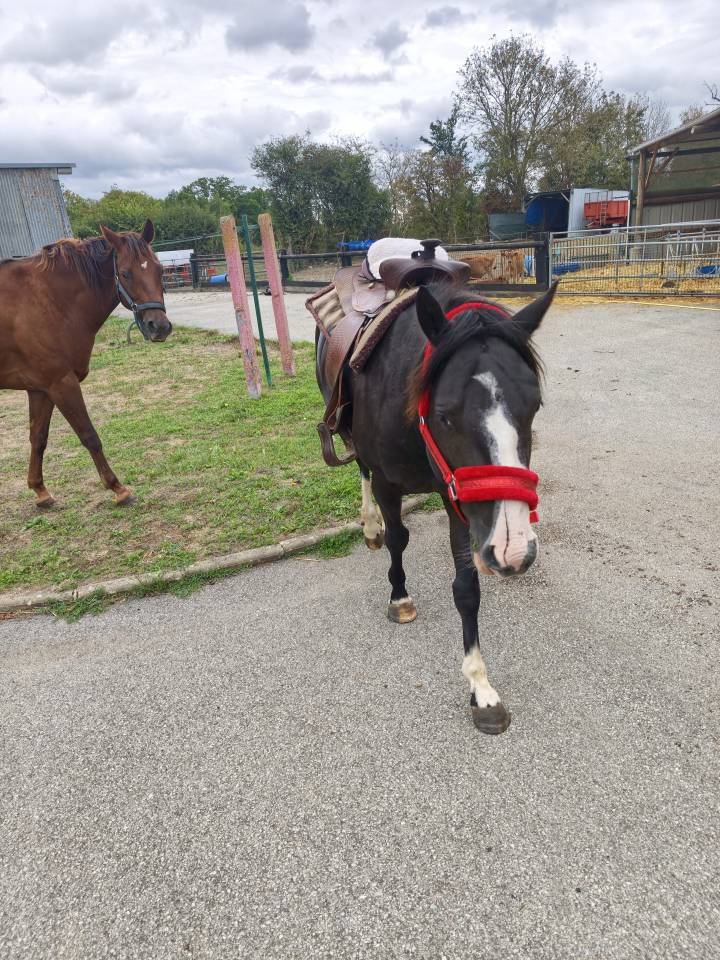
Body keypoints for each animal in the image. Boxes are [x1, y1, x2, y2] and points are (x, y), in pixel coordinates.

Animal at [0, 220, 171, 507]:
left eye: (160, 270)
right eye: (125, 273)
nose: (159, 327)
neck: (47, 300)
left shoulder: (40, 388)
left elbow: (38, 438)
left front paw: (40, 490)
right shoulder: (61, 384)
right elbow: (89, 436)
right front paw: (118, 488)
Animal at [316, 281, 556, 734]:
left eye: (534, 407)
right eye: (445, 415)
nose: (514, 550)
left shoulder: (456, 496)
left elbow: (466, 588)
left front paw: (481, 688)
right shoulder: (388, 483)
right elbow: (398, 538)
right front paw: (399, 596)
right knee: (360, 470)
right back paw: (369, 528)